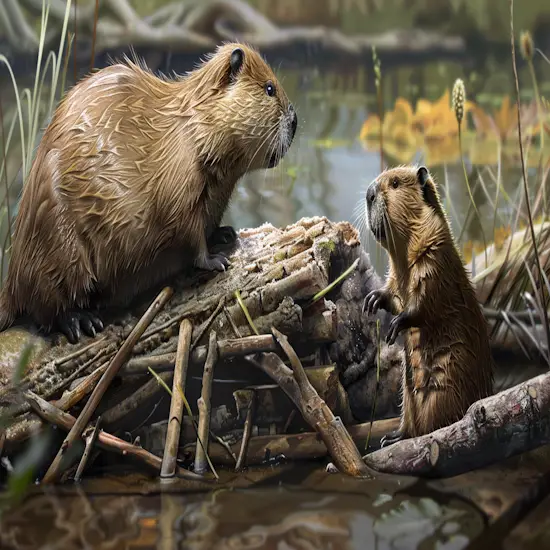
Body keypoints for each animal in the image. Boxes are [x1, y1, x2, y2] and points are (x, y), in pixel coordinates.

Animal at [0, 43, 298, 344]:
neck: (192, 129)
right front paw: (215, 261)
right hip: (59, 241)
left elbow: (206, 223)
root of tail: (10, 285)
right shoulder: (178, 176)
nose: (295, 120)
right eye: (269, 88)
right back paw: (81, 321)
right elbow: (185, 227)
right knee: (46, 305)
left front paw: (226, 233)